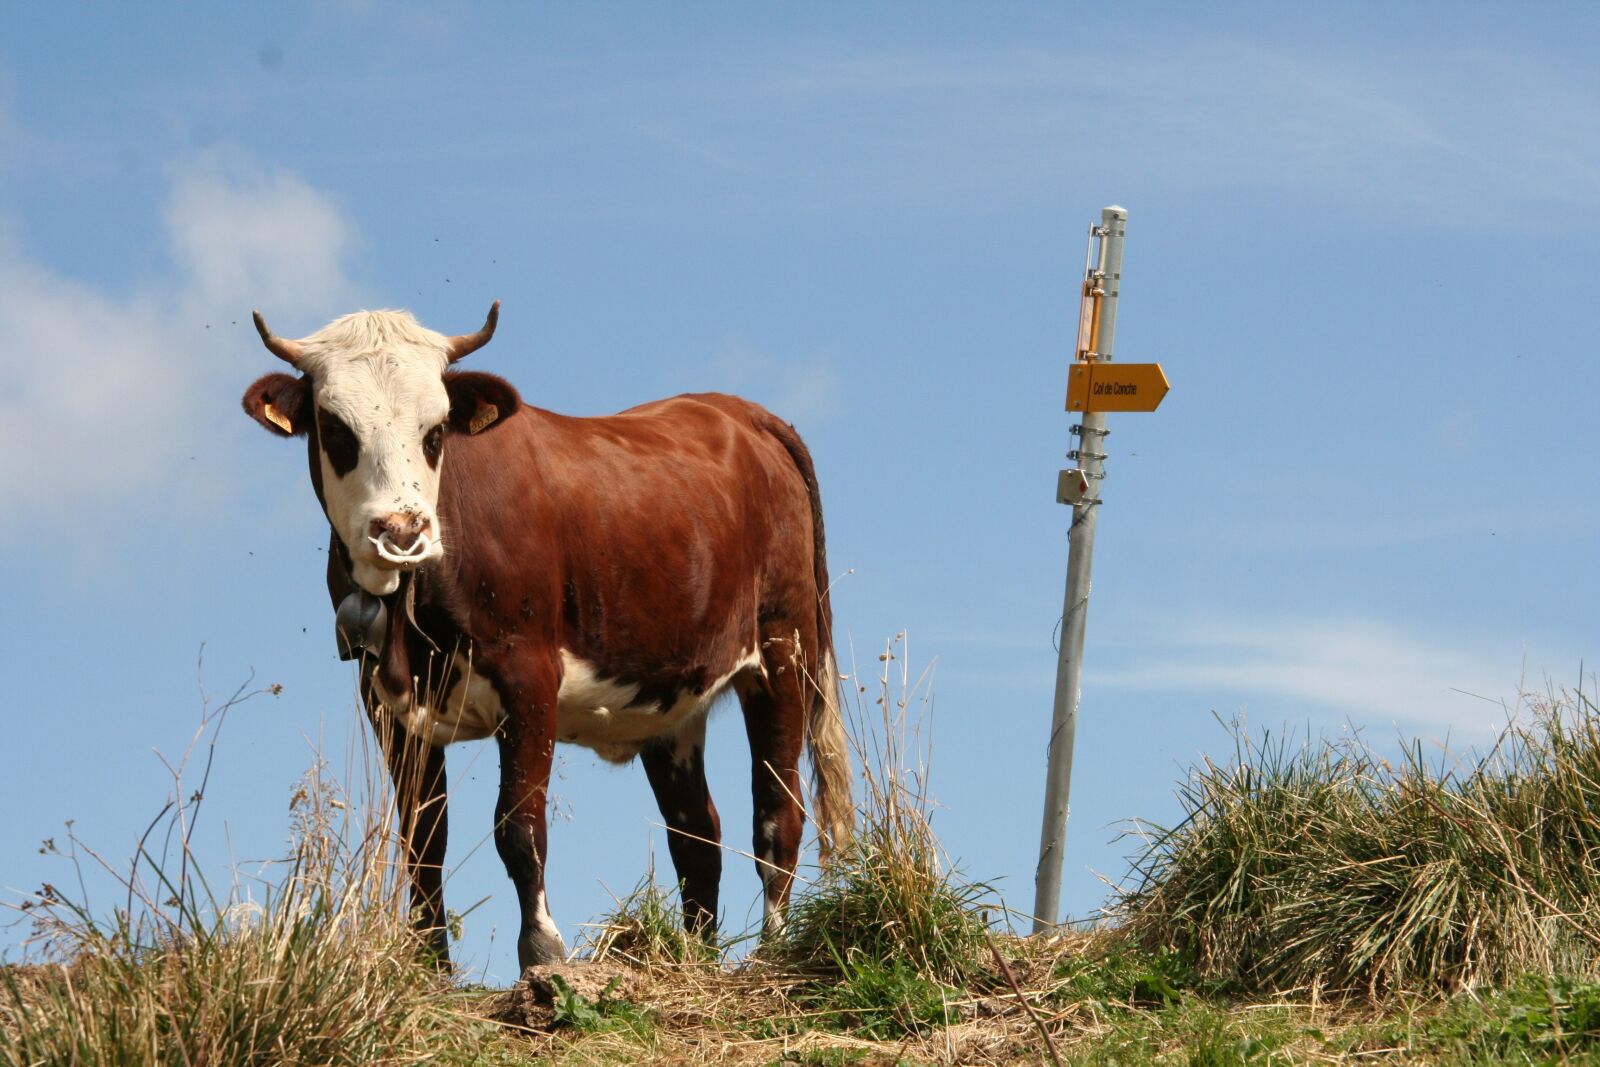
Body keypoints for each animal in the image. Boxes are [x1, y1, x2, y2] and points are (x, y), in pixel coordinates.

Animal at [240, 302, 852, 970]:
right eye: (336, 429)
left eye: (435, 431)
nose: (401, 531)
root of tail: (742, 412)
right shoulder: (385, 701)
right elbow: (423, 839)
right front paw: (430, 965)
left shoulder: (529, 677)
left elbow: (519, 825)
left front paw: (541, 949)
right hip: (672, 698)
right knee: (697, 837)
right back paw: (693, 960)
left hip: (784, 652)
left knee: (778, 814)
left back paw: (772, 953)